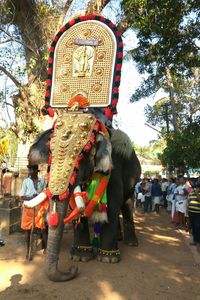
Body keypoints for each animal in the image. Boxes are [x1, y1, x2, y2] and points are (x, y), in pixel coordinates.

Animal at [25, 116, 141, 282]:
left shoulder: (113, 168)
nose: (72, 269)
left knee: (127, 204)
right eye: (50, 154)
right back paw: (118, 238)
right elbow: (77, 209)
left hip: (134, 180)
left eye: (82, 154)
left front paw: (108, 259)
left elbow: (112, 204)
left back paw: (131, 243)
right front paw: (80, 257)